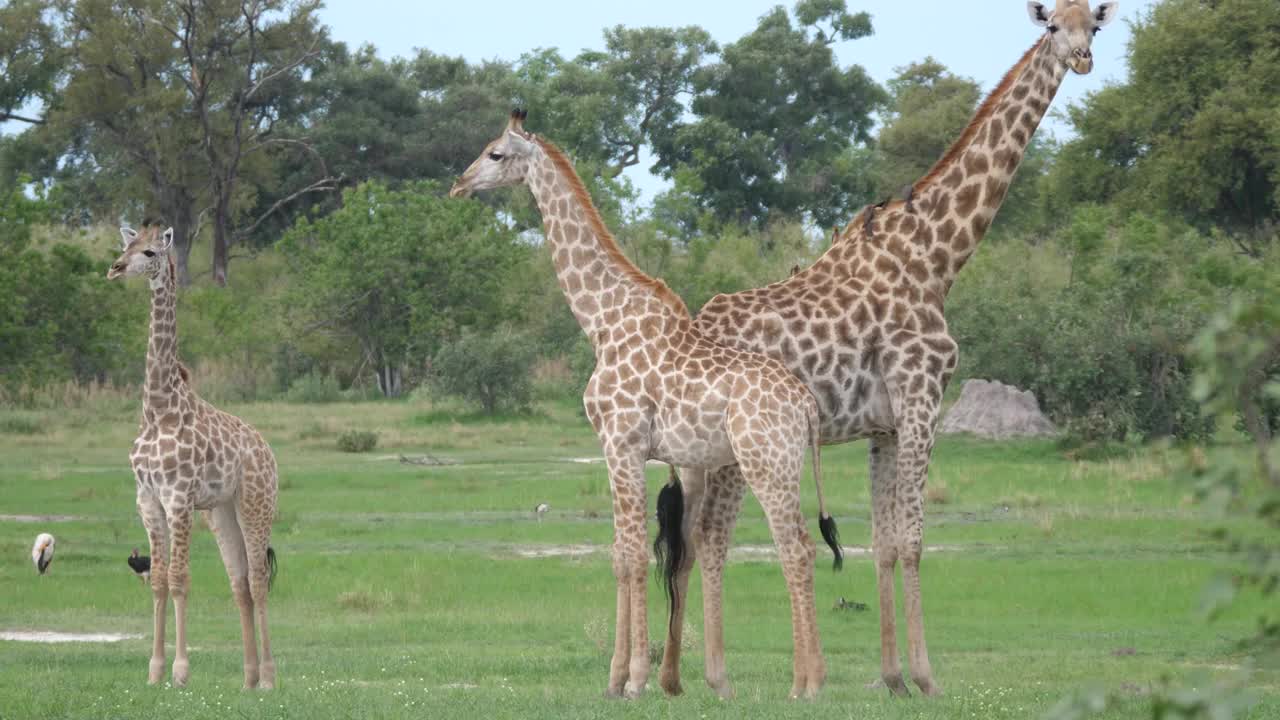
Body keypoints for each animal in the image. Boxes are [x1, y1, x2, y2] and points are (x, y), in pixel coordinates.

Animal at [109, 225, 280, 691]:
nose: (115, 268)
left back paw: (270, 678)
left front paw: (181, 671)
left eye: (150, 252)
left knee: (259, 580)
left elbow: (180, 579)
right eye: (125, 245)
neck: (157, 410)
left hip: (255, 504)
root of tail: (268, 451)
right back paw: (248, 679)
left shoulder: (179, 497)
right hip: (220, 511)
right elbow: (158, 580)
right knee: (239, 582)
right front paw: (154, 671)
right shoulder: (148, 500)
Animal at [450, 110, 839, 696]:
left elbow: (632, 555)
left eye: (495, 153)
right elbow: (618, 553)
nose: (460, 183)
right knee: (800, 546)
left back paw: (807, 685)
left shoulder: (622, 441)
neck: (601, 321)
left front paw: (634, 680)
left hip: (765, 461)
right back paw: (801, 680)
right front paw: (615, 679)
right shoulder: (621, 448)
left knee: (794, 547)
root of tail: (807, 406)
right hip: (774, 463)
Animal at [660, 0, 1121, 696]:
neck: (938, 257)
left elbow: (882, 543)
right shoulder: (921, 398)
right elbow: (913, 541)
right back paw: (717, 678)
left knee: (690, 536)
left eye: (1091, 24)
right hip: (738, 451)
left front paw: (893, 677)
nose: (1083, 59)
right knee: (711, 535)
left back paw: (680, 679)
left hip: (705, 453)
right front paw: (927, 677)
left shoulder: (884, 425)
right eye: (1050, 27)